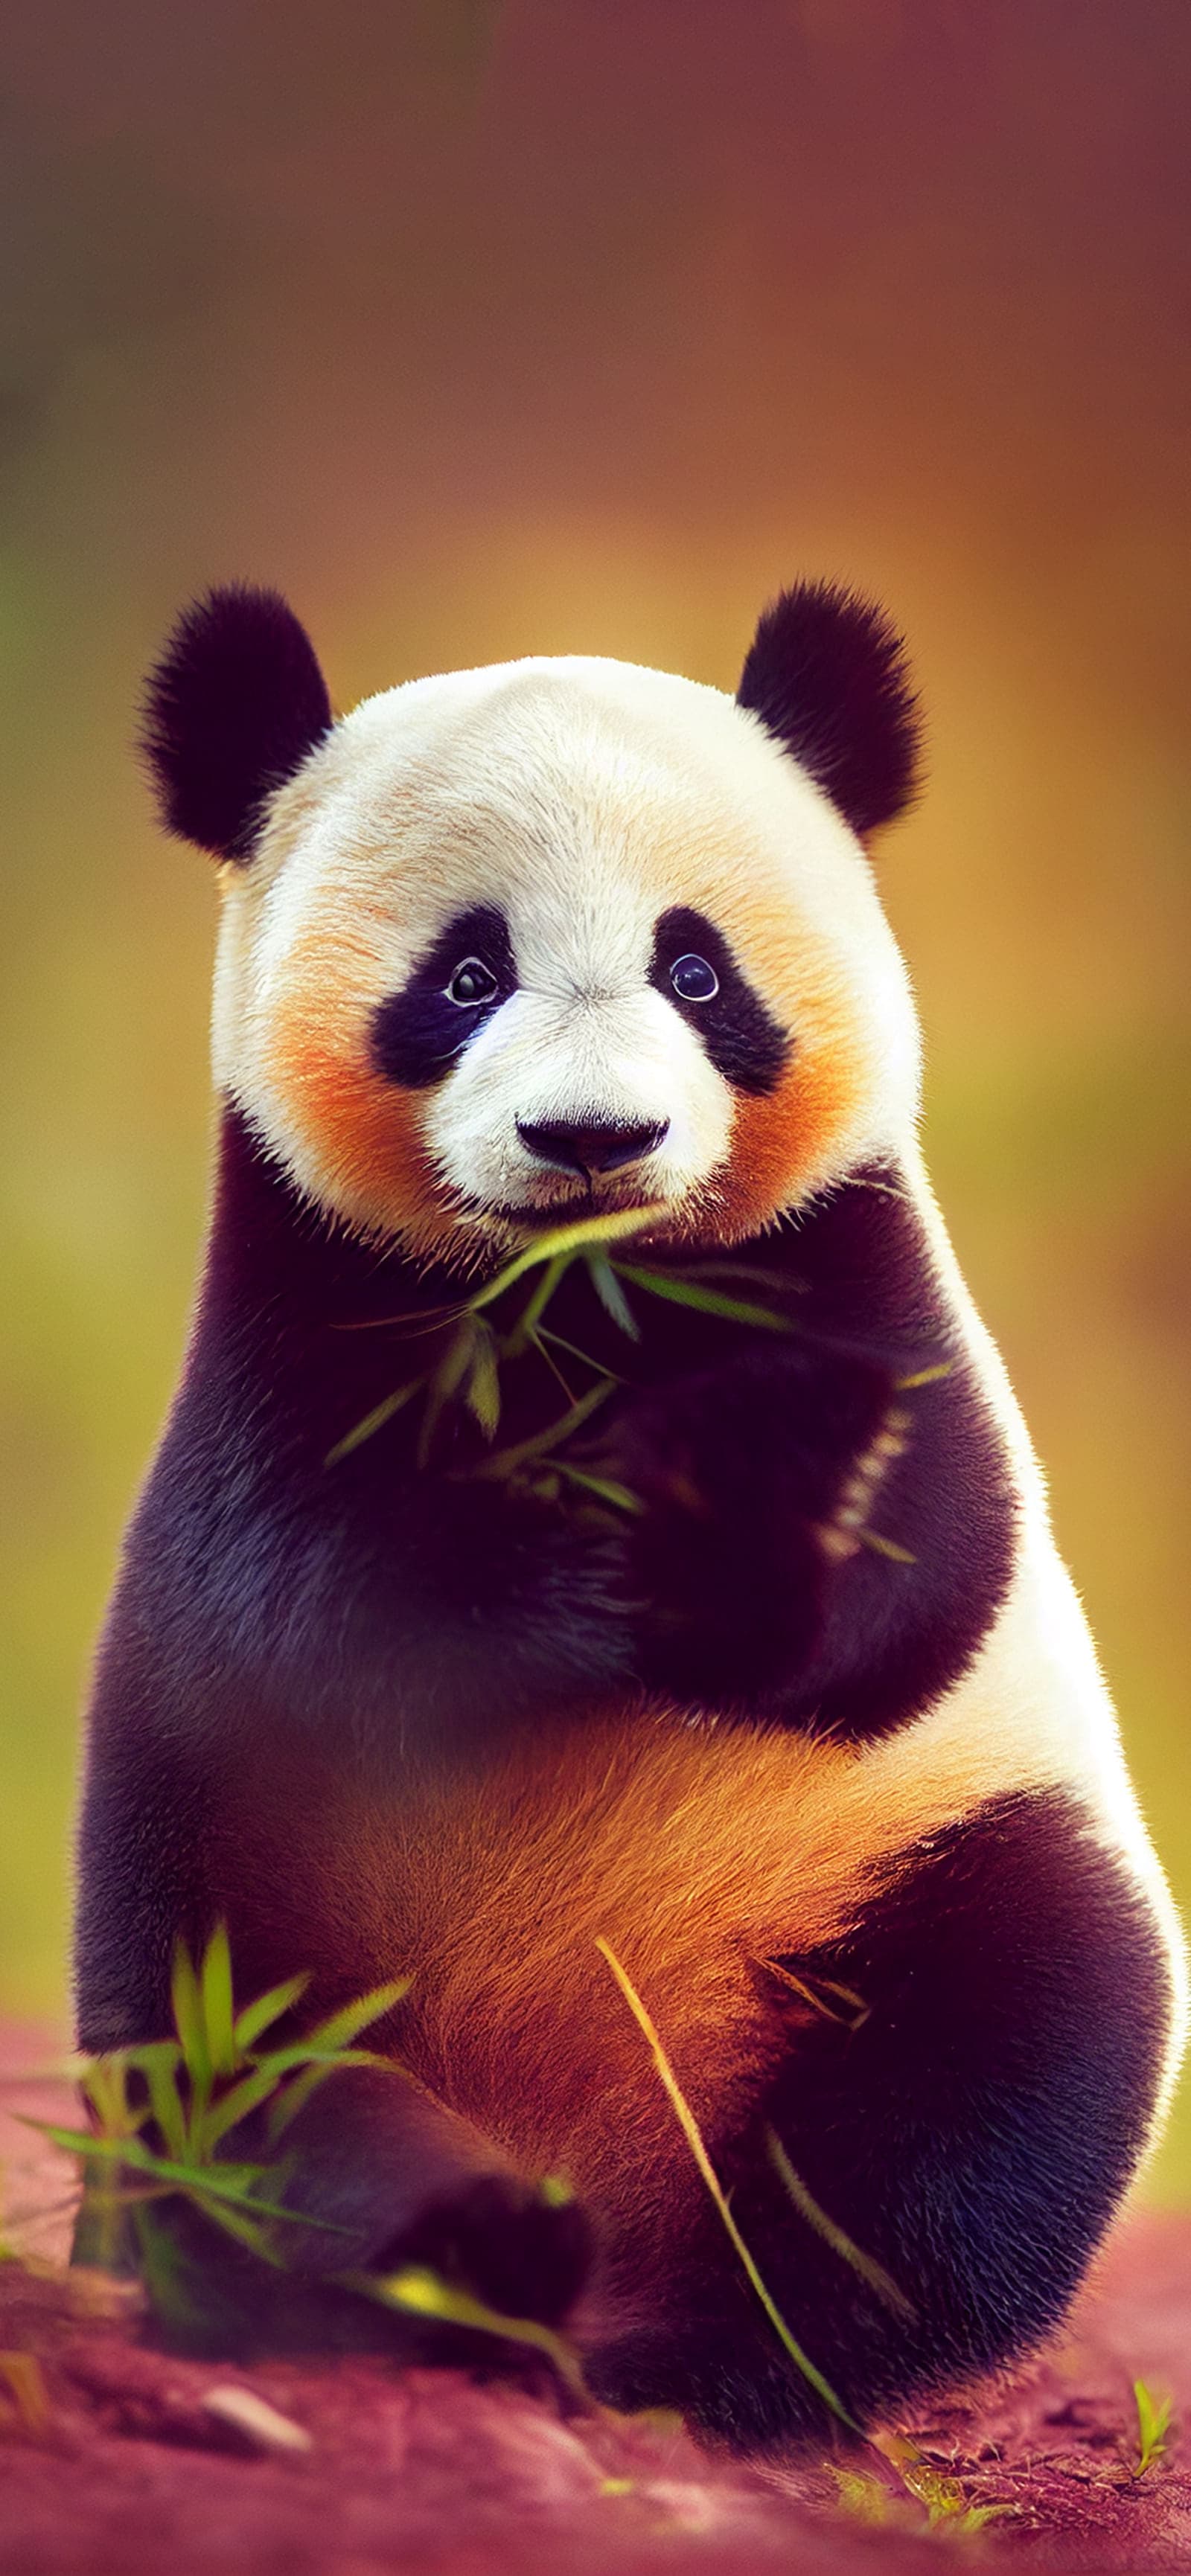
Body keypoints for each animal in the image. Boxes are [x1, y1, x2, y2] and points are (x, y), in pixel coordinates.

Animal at [75, 578, 1185, 2451]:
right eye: (464, 974)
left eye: (694, 967)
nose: (590, 1136)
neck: (585, 1301)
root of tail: (592, 2160)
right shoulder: (295, 1310)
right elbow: (311, 1596)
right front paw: (600, 1558)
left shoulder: (862, 1268)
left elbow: (923, 1580)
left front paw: (753, 1519)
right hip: (231, 1869)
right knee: (234, 2092)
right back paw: (467, 2258)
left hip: (905, 1870)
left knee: (979, 2087)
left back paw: (705, 2359)